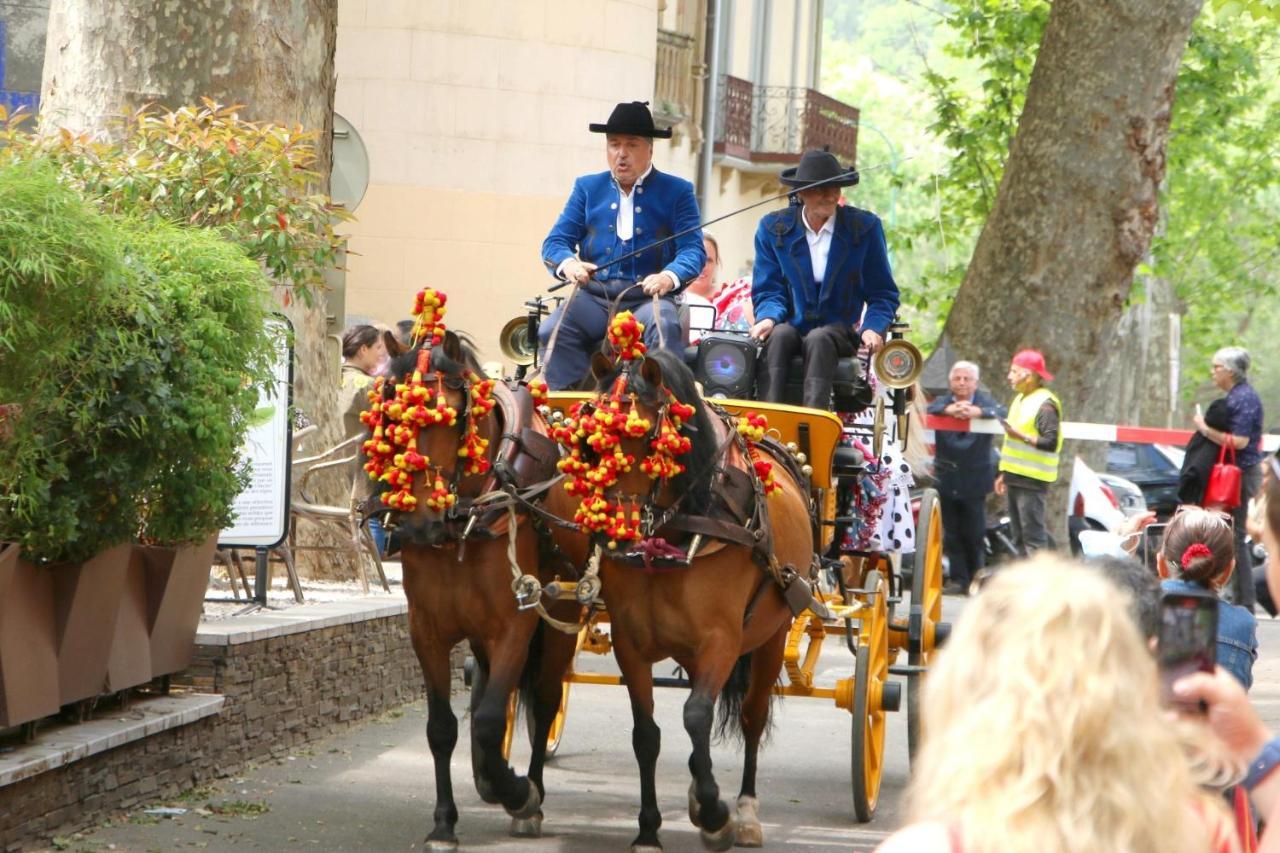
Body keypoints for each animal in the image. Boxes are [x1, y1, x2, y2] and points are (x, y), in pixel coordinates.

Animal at [373, 327, 578, 845]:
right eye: (390, 412)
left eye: (453, 414)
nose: (420, 523)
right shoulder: (425, 631)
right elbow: (442, 727)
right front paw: (445, 822)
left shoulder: (515, 627)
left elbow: (487, 721)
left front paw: (518, 793)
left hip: (561, 618)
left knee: (544, 702)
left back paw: (529, 794)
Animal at [545, 345, 814, 850]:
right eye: (589, 441)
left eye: (648, 439)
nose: (617, 532)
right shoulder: (631, 644)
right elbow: (647, 734)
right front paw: (650, 828)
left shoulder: (722, 641)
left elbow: (696, 715)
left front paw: (715, 814)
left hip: (772, 635)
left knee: (751, 715)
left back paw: (744, 814)